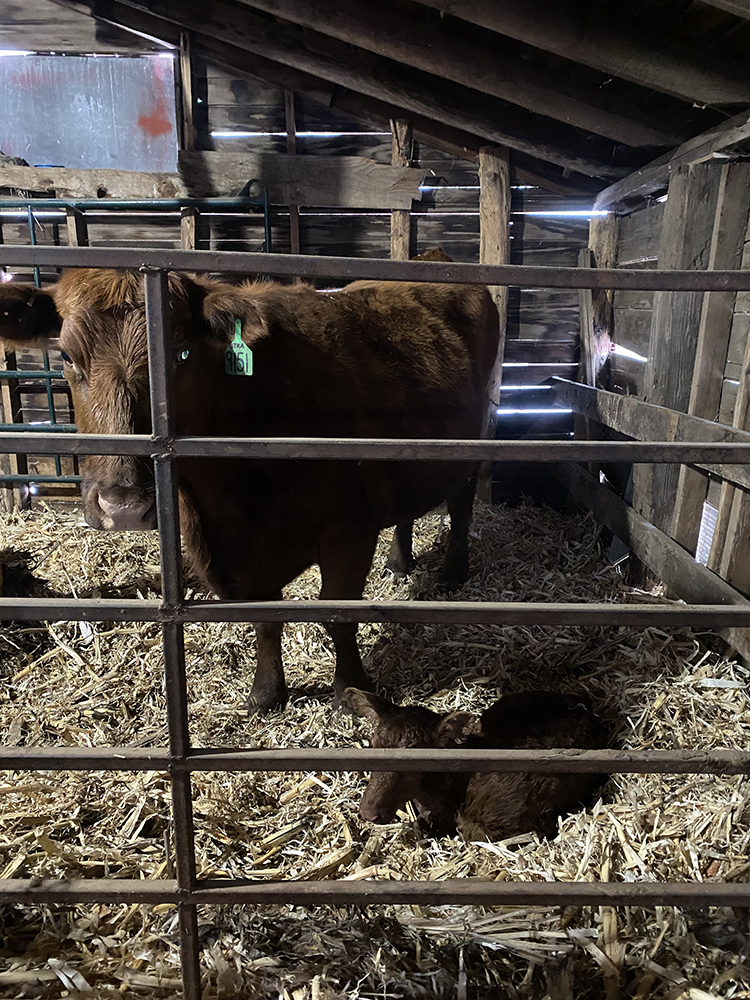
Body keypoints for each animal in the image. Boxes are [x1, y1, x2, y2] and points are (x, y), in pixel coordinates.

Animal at [1, 272, 506, 712]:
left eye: (182, 354)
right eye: (67, 357)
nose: (123, 506)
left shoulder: (348, 533)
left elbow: (338, 615)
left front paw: (350, 689)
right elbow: (265, 621)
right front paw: (266, 695)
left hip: (473, 438)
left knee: (462, 502)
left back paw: (453, 572)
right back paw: (400, 563)